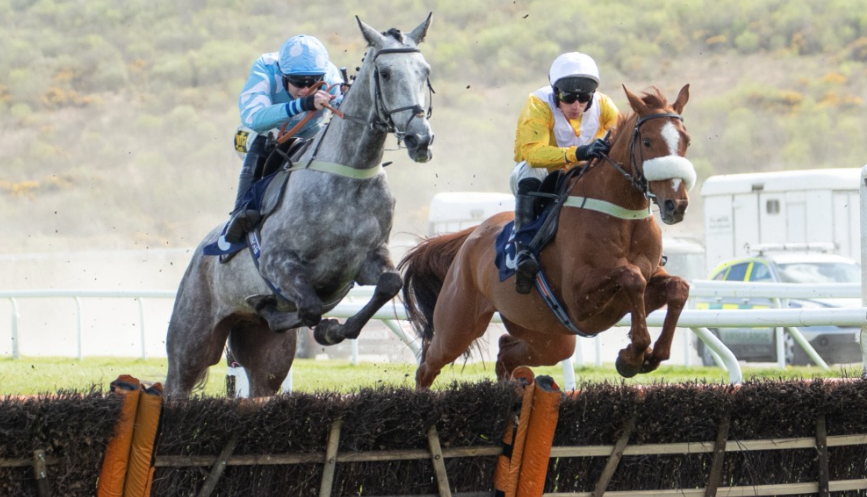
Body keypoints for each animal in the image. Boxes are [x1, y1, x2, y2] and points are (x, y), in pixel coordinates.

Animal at [165, 14, 434, 398]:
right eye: (385, 73)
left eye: (424, 71)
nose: (419, 138)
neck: (347, 178)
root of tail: (196, 259)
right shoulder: (279, 263)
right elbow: (309, 307)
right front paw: (326, 326)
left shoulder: (365, 261)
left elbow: (389, 283)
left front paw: (334, 329)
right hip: (191, 343)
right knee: (178, 382)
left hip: (264, 355)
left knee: (263, 376)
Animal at [400, 84, 694, 389]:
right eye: (647, 142)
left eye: (686, 141)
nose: (676, 204)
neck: (623, 217)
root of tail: (471, 236)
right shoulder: (579, 300)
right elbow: (632, 277)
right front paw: (633, 355)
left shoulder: (643, 284)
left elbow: (678, 288)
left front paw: (651, 354)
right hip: (458, 324)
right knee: (428, 366)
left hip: (545, 334)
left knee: (505, 352)